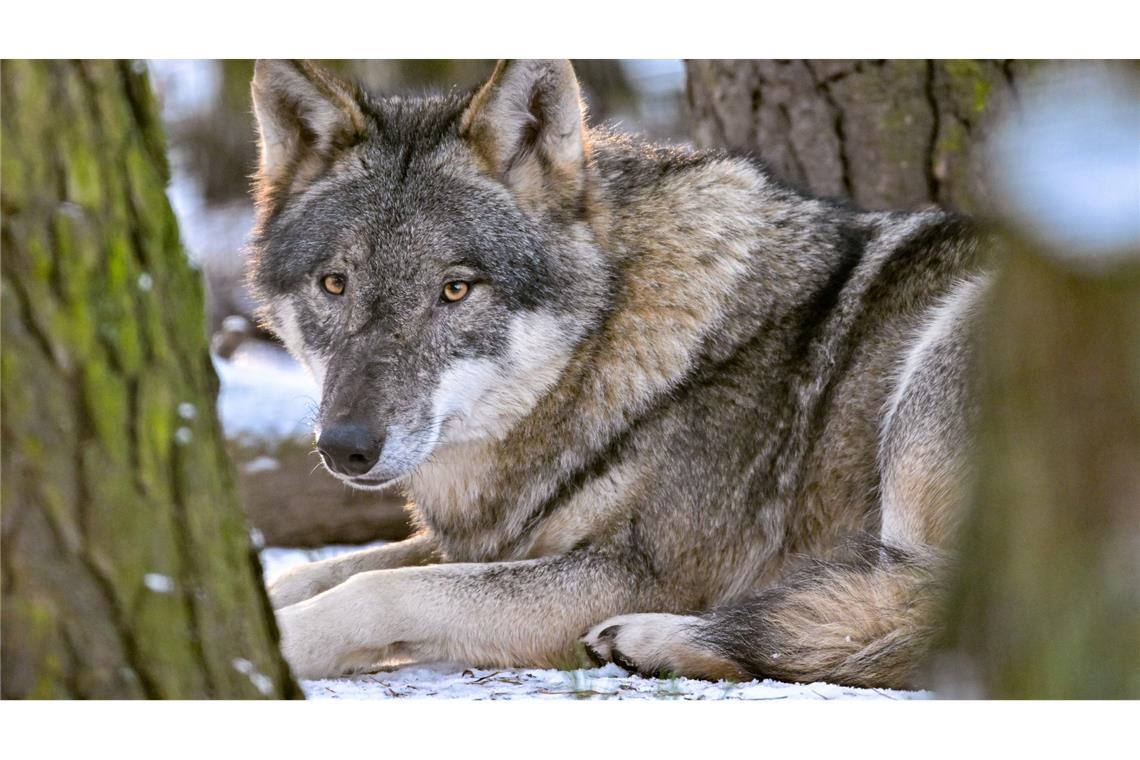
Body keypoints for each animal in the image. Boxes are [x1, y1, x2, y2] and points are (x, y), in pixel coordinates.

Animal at [248, 59, 990, 689]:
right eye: (335, 284)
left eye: (455, 290)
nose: (345, 446)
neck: (607, 348)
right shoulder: (508, 539)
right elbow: (321, 571)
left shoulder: (639, 572)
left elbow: (381, 588)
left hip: (940, 365)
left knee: (924, 614)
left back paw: (656, 639)